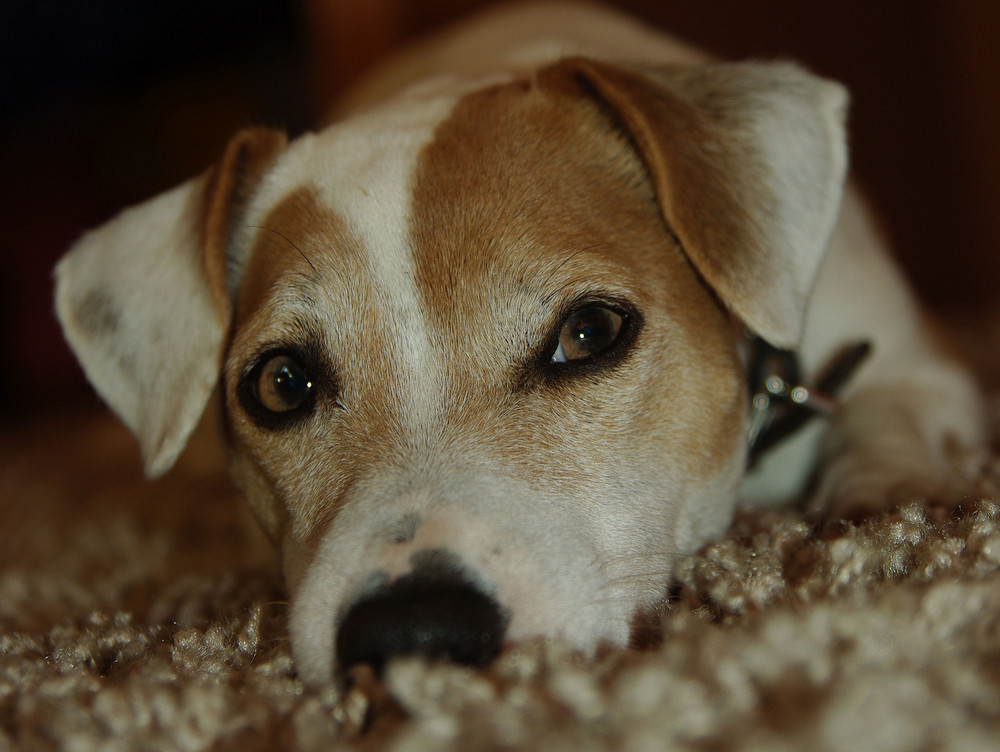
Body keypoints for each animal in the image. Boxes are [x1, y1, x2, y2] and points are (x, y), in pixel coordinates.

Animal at [54, 0, 984, 684]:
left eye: (589, 333)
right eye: (282, 383)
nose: (413, 636)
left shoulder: (915, 362)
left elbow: (886, 424)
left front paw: (878, 508)